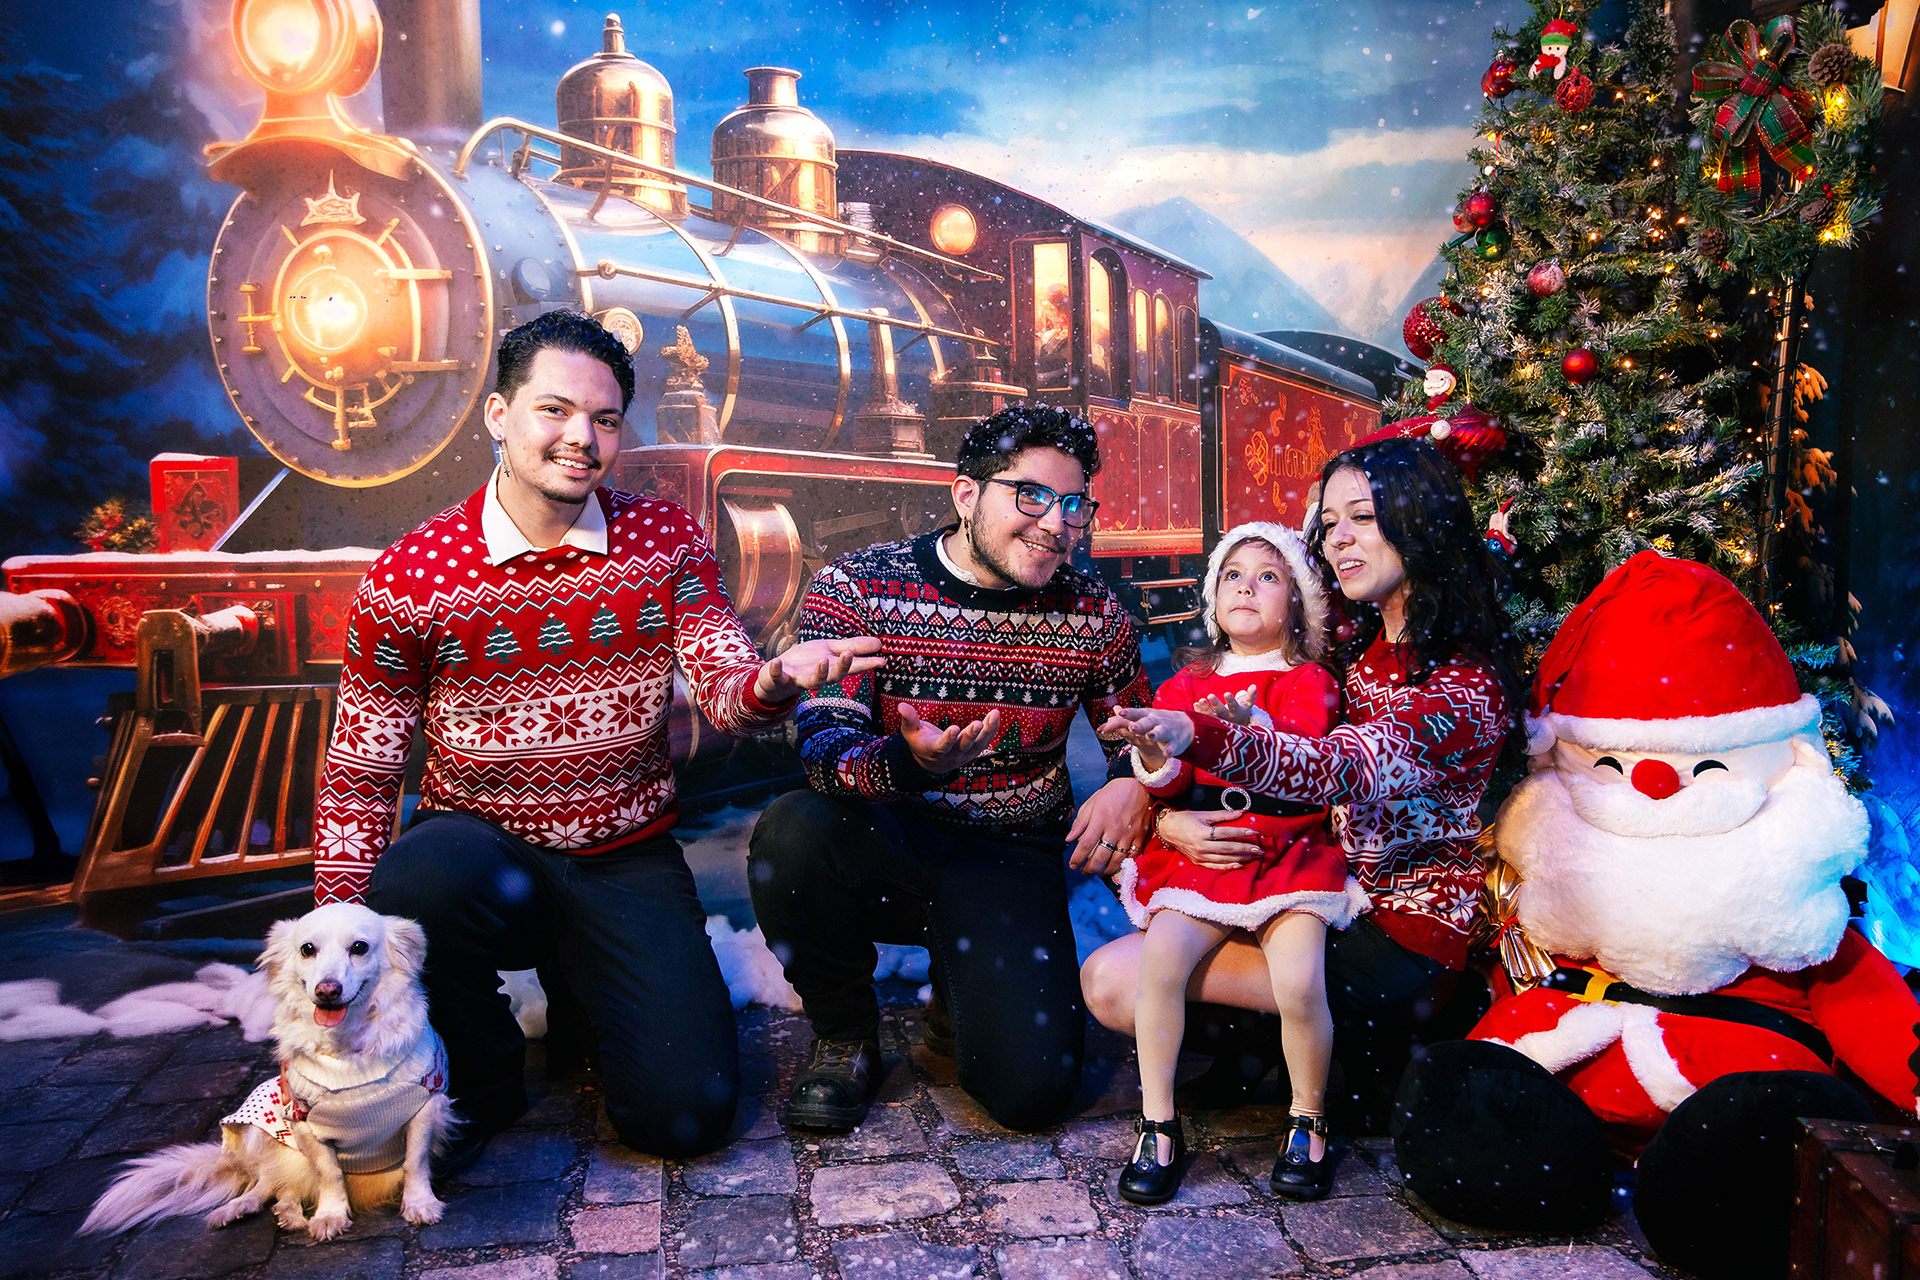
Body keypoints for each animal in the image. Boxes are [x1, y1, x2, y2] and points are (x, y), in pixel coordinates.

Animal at [82, 902, 458, 1240]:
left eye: (359, 948)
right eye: (307, 949)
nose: (326, 990)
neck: (345, 1049)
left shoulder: (425, 1110)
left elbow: (414, 1162)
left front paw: (419, 1203)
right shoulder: (303, 1124)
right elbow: (329, 1174)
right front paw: (330, 1215)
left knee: (284, 1190)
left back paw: (285, 1216)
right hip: (268, 1136)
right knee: (271, 1184)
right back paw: (243, 1208)